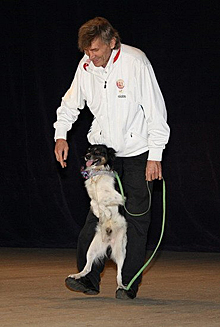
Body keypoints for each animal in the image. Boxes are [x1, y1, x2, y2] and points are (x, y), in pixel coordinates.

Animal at [69, 145, 127, 290]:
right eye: (88, 150)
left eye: (98, 151)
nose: (86, 156)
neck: (97, 175)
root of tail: (108, 242)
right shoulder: (92, 197)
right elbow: (94, 202)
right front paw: (98, 213)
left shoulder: (120, 197)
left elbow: (102, 201)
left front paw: (107, 213)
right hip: (91, 249)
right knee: (88, 268)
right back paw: (77, 276)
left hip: (120, 251)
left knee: (119, 272)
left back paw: (120, 286)